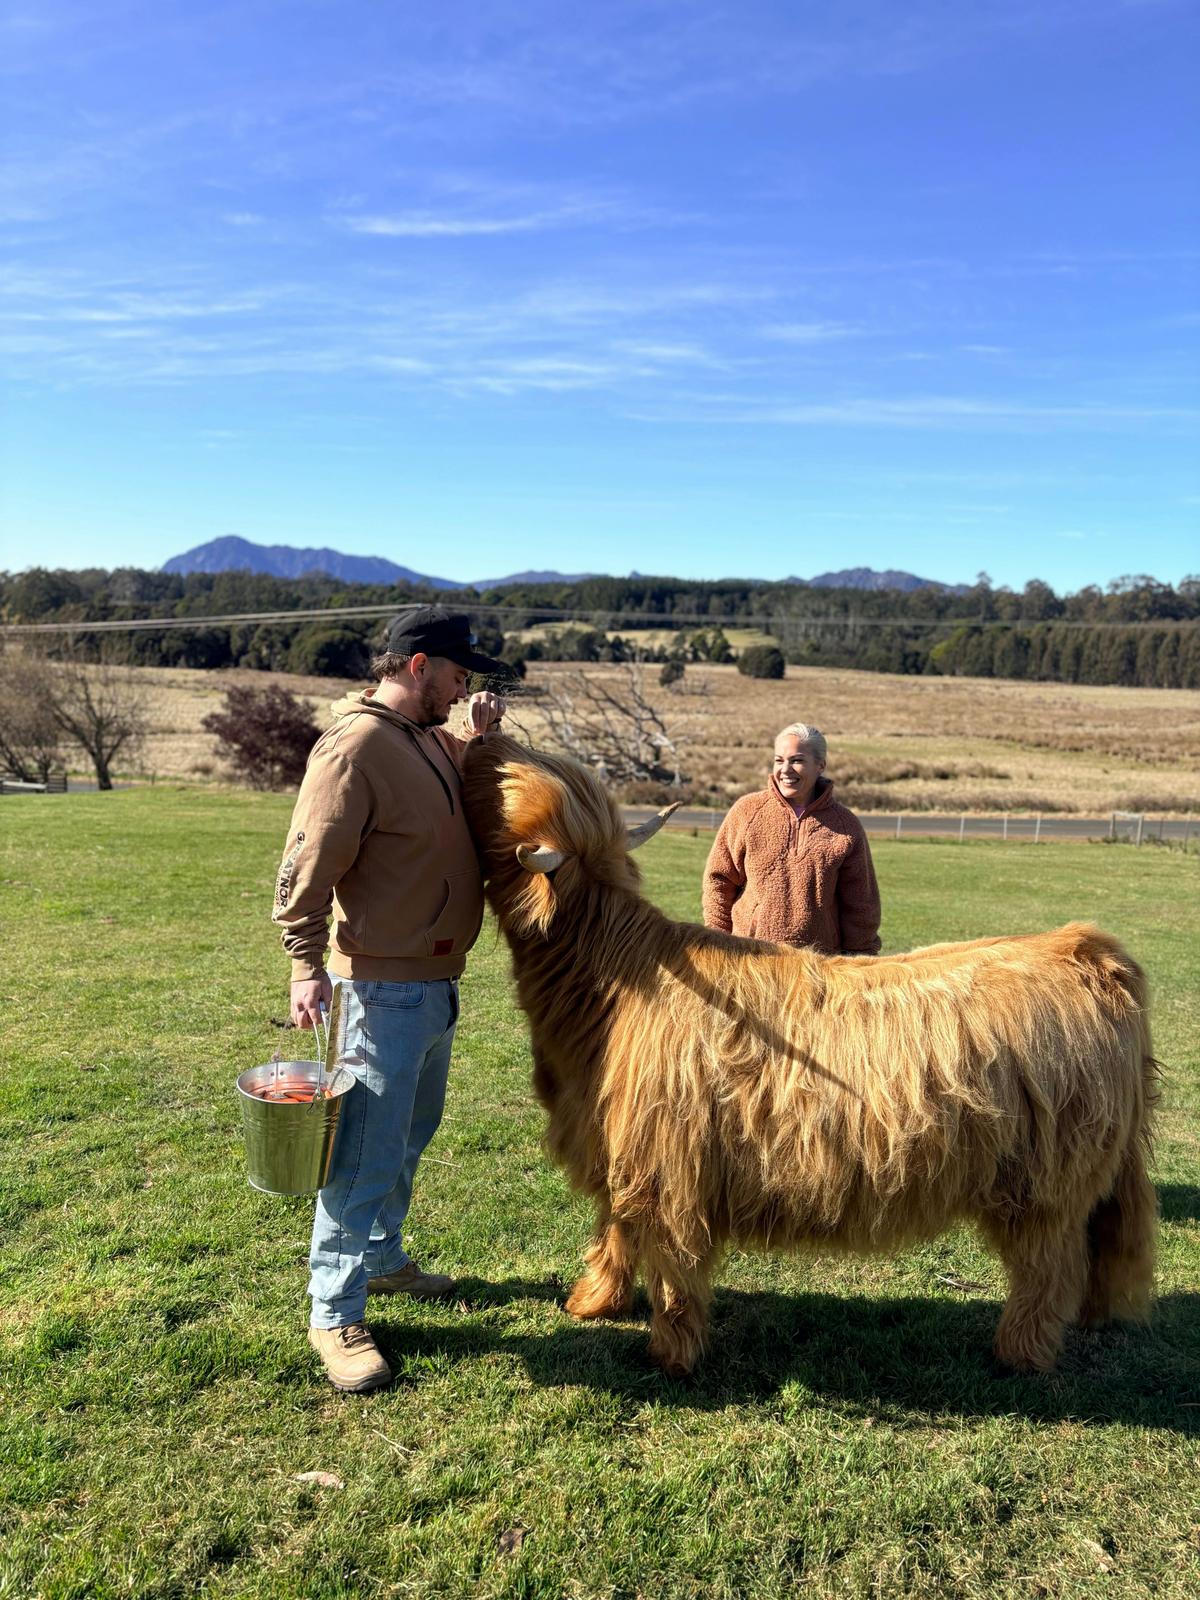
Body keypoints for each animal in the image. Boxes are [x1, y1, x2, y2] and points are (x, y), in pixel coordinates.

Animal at [461, 734, 1158, 1378]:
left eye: (496, 789)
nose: (482, 733)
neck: (607, 988)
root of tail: (1086, 951)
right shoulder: (615, 1144)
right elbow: (616, 1228)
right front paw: (594, 1302)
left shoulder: (666, 1159)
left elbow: (670, 1258)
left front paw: (672, 1354)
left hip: (1043, 1183)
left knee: (1049, 1266)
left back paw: (1019, 1353)